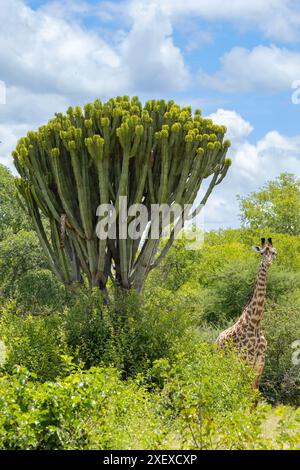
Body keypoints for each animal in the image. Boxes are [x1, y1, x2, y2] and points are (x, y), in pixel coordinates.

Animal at [217, 239, 278, 390]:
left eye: (274, 253)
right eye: (261, 253)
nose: (268, 263)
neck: (255, 322)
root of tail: (216, 340)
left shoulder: (260, 363)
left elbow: (254, 393)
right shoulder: (246, 361)